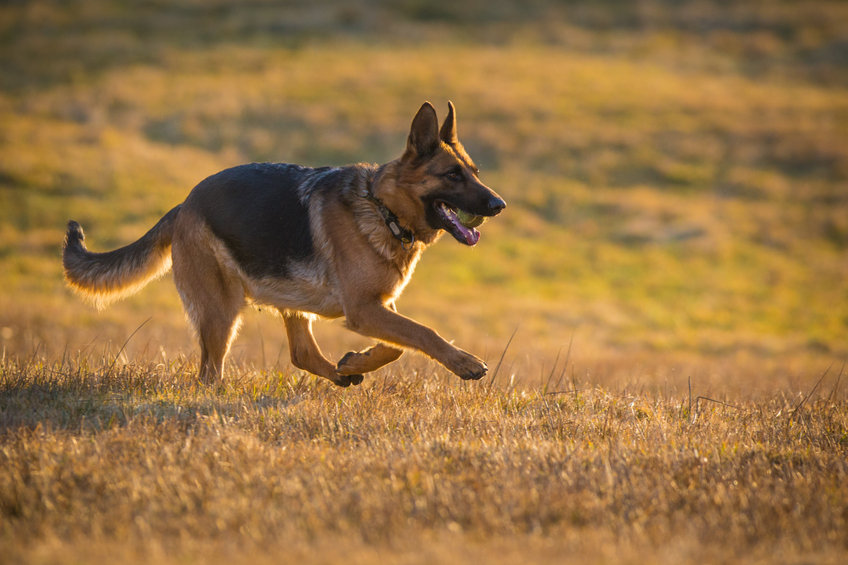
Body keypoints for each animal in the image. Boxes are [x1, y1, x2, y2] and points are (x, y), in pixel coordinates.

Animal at [66, 101, 506, 386]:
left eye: (475, 172)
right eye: (452, 175)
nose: (499, 205)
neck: (383, 208)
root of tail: (184, 205)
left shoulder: (375, 306)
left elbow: (399, 345)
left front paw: (354, 362)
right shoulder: (364, 309)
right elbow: (423, 332)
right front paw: (464, 362)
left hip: (292, 298)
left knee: (302, 354)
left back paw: (340, 374)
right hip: (220, 311)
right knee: (209, 372)